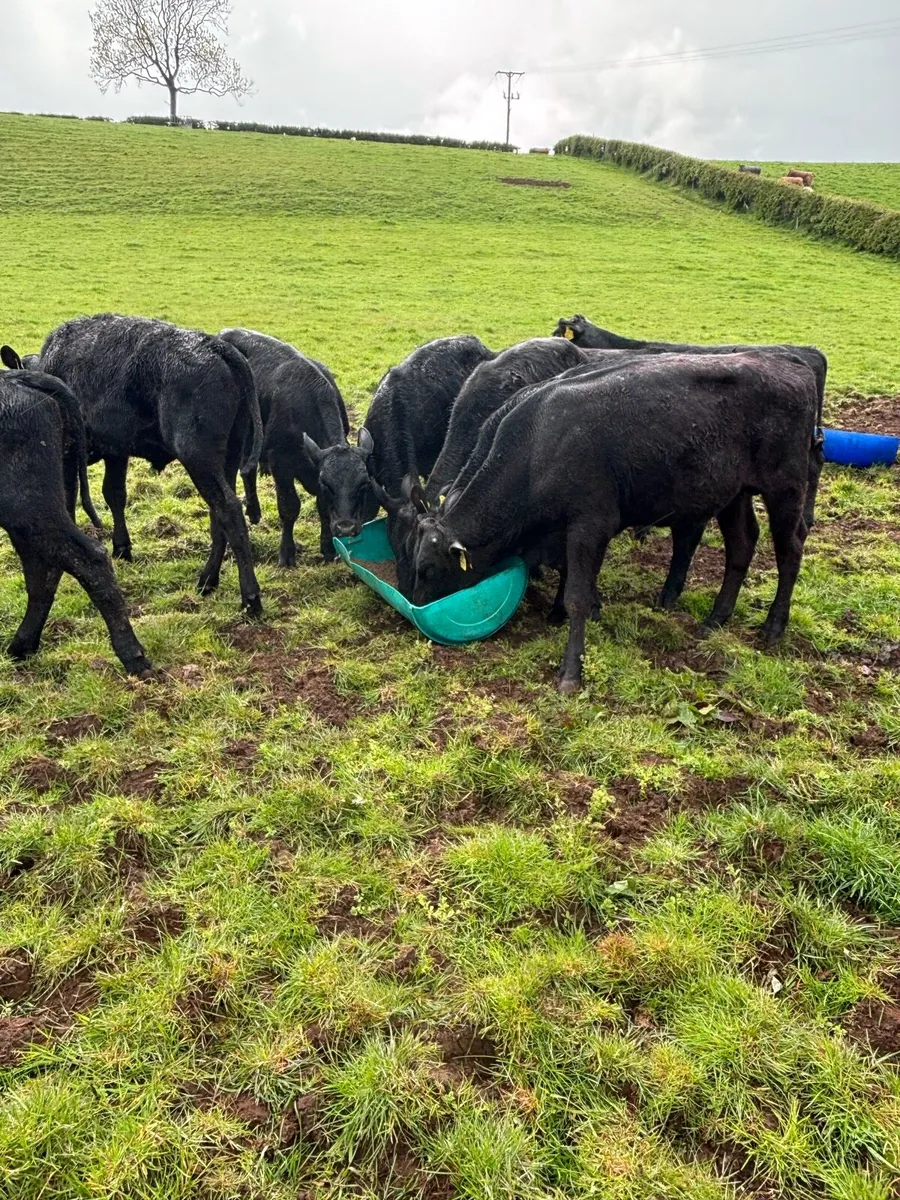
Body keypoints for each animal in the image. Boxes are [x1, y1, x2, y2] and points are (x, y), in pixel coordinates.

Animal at [0, 355, 151, 676]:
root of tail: (18, 378)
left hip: (28, 507)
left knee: (86, 558)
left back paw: (133, 657)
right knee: (44, 567)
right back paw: (22, 646)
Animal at [33, 314, 264, 615]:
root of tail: (215, 346)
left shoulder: (70, 453)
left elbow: (70, 501)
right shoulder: (116, 452)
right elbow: (114, 494)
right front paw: (122, 548)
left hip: (199, 459)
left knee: (228, 510)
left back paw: (250, 597)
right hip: (227, 459)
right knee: (219, 514)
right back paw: (207, 580)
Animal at [218, 328, 355, 564]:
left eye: (362, 485)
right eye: (328, 484)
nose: (346, 529)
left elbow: (323, 507)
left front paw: (328, 548)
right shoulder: (281, 462)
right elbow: (289, 507)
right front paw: (287, 553)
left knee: (247, 469)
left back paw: (253, 510)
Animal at [411, 353, 819, 693]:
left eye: (428, 569)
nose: (416, 613)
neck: (537, 447)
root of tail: (791, 364)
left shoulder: (589, 523)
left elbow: (576, 592)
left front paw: (571, 671)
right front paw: (584, 612)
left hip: (785, 487)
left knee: (789, 550)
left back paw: (773, 626)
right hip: (734, 494)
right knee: (742, 545)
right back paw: (716, 619)